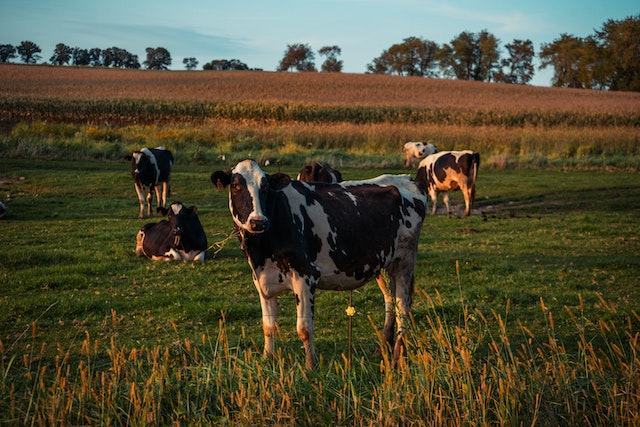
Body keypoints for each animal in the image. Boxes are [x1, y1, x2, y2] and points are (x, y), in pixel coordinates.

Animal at [212, 160, 428, 372]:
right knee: (390, 301)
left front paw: (311, 367)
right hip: (383, 263)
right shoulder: (262, 280)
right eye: (235, 186)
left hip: (405, 261)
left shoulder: (305, 277)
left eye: (265, 187)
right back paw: (382, 347)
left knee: (403, 307)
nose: (258, 222)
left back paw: (397, 358)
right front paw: (267, 358)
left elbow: (304, 329)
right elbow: (268, 326)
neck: (261, 249)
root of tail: (407, 179)